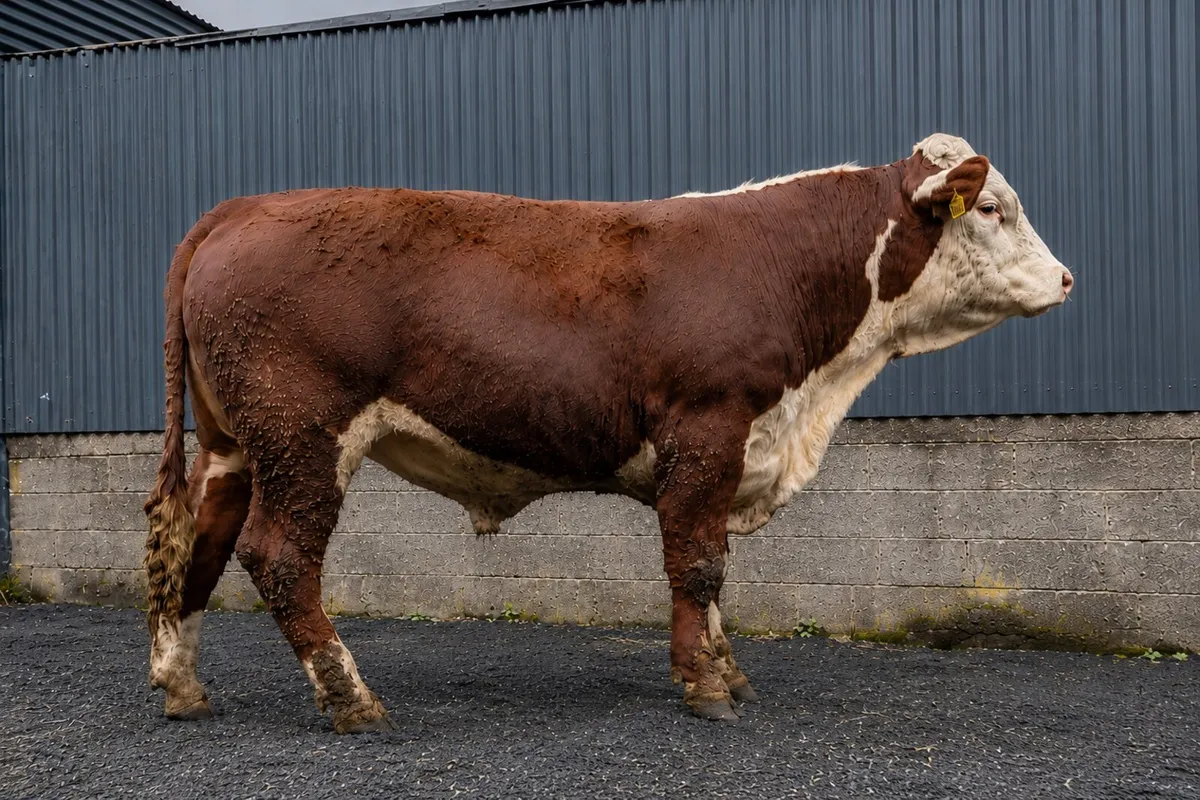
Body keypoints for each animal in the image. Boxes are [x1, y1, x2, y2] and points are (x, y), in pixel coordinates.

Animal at [142, 133, 1073, 733]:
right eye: (992, 207)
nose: (1066, 278)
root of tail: (242, 208)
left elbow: (710, 570)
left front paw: (726, 669)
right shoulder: (707, 427)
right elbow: (698, 565)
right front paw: (706, 688)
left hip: (235, 443)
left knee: (200, 545)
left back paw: (182, 686)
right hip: (304, 436)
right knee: (278, 557)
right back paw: (350, 699)